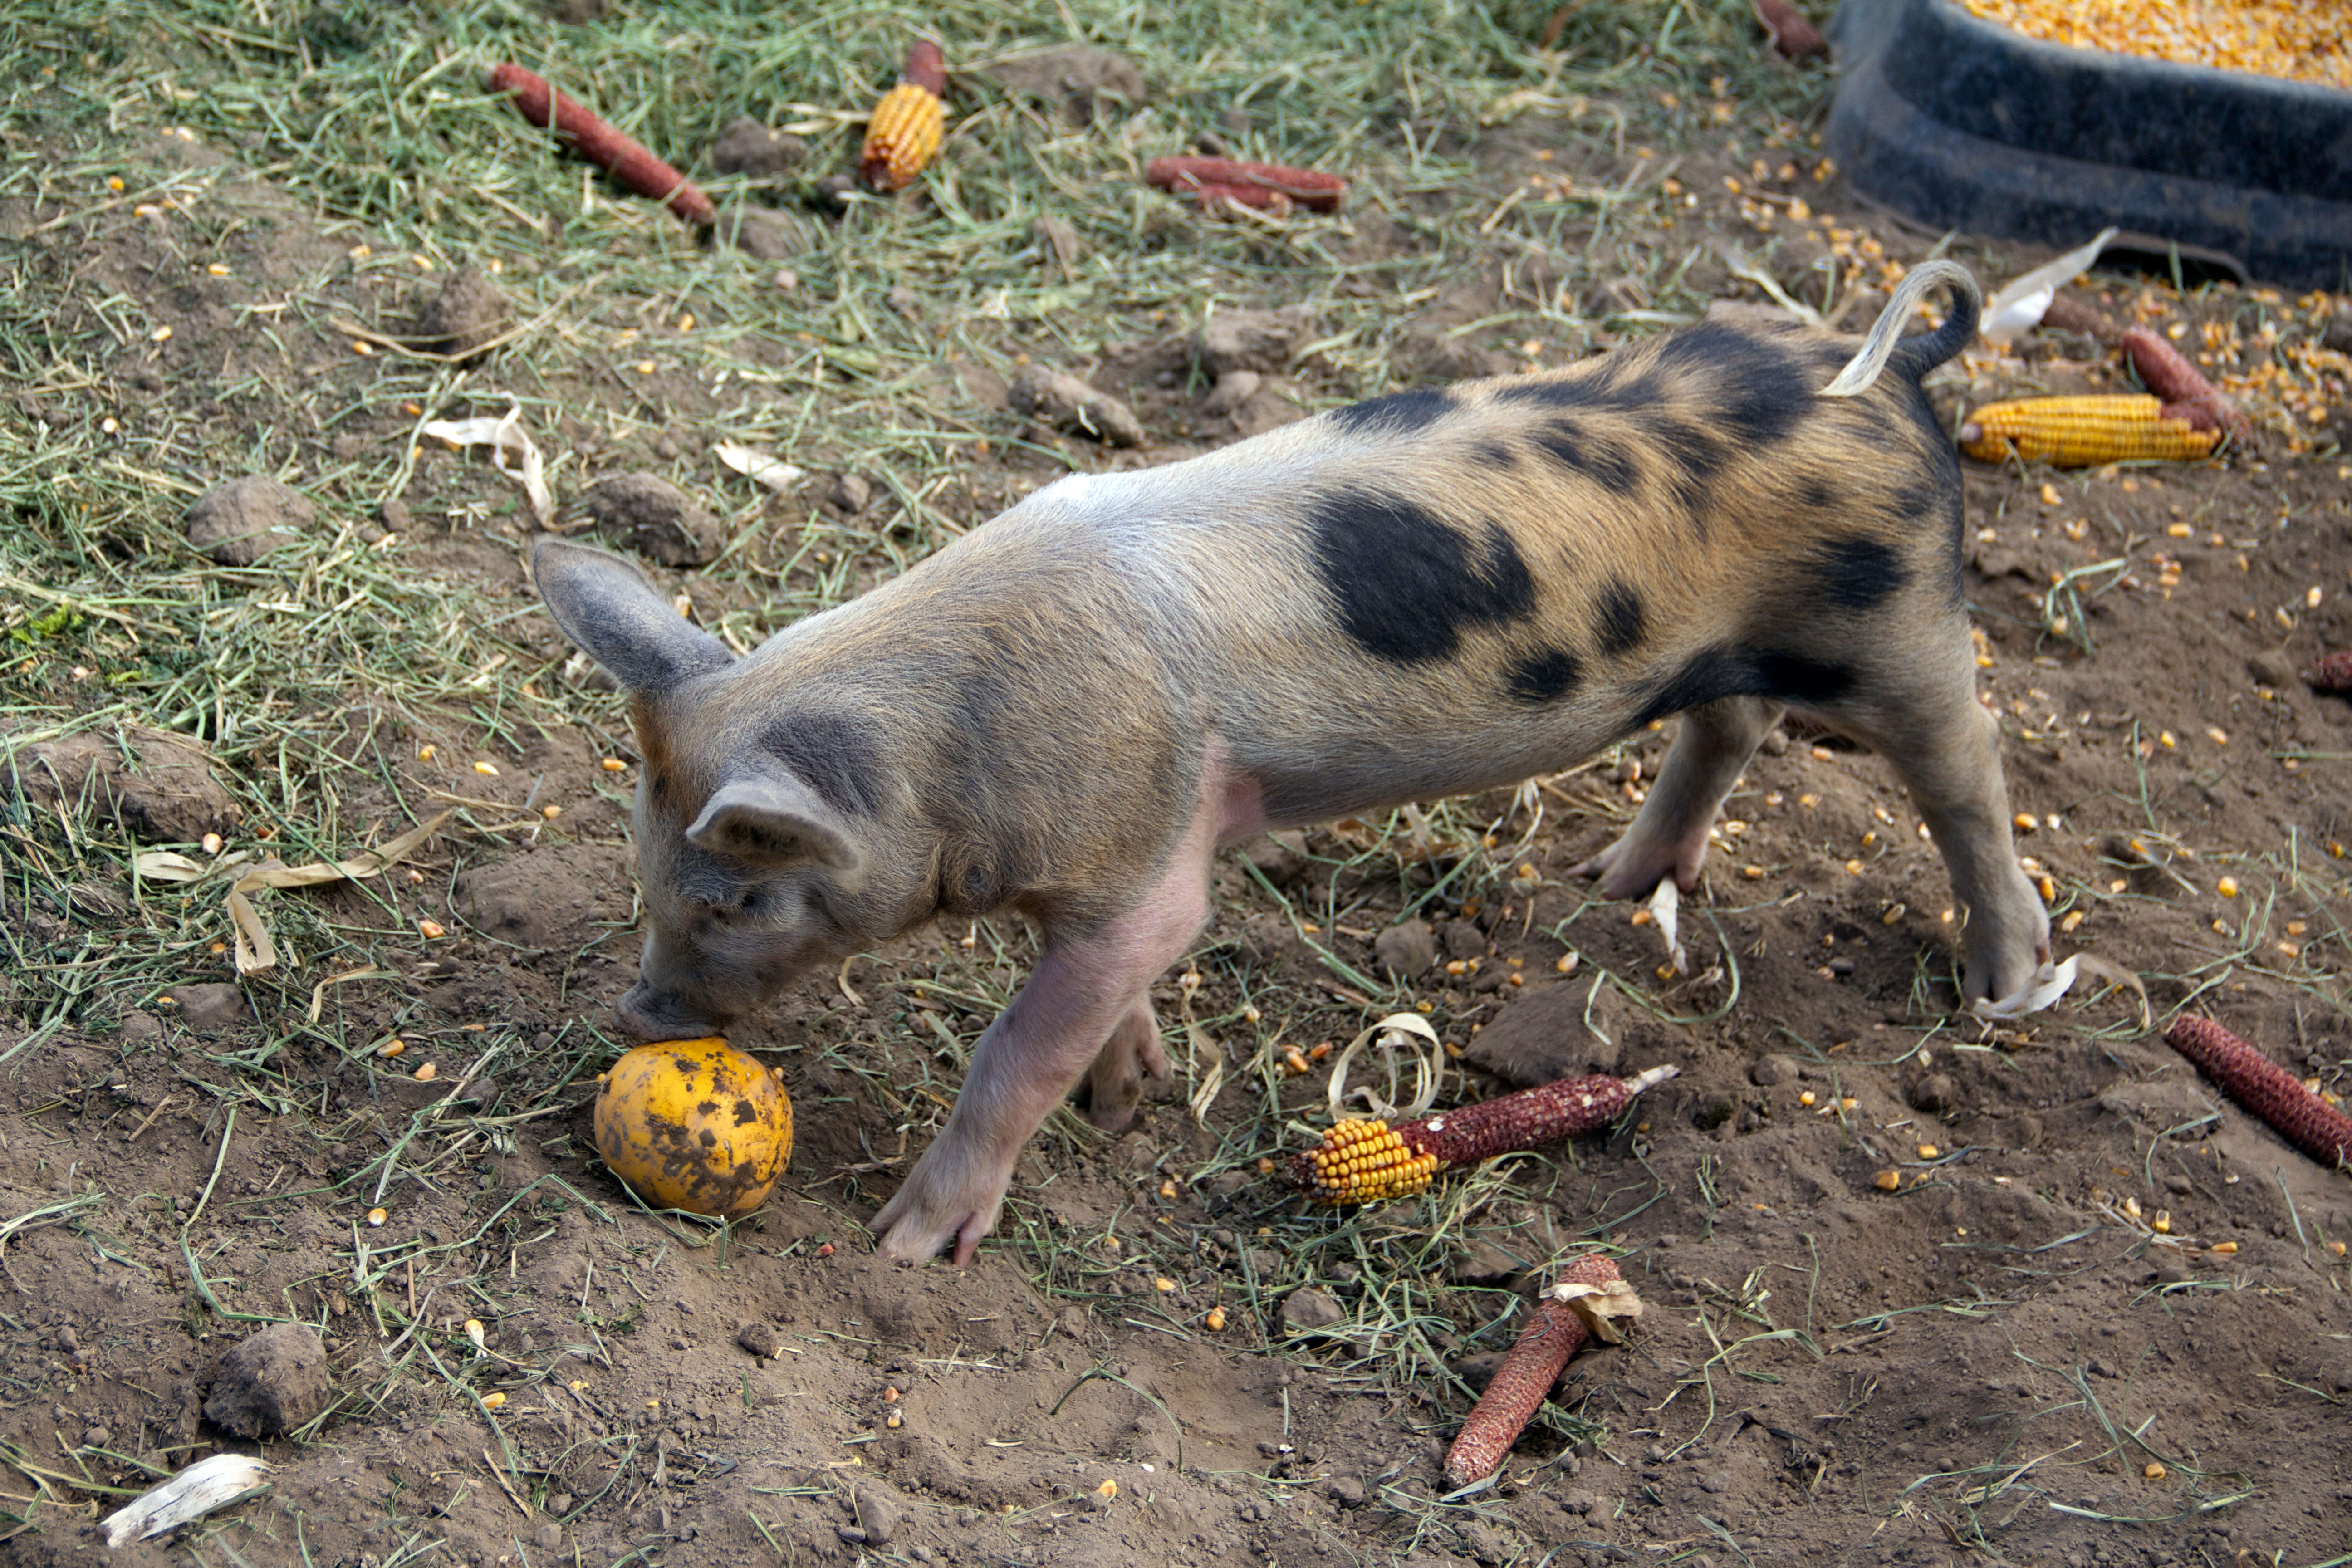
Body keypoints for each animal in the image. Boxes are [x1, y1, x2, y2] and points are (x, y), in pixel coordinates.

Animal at [533, 258, 2048, 1264]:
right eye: (644, 868)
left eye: (741, 897)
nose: (635, 1015)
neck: (953, 752)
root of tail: (1896, 376)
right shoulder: (1130, 867)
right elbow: (1102, 998)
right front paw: (1130, 1093)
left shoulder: (1145, 865)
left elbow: (1021, 1046)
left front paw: (910, 1249)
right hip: (1727, 651)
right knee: (1732, 725)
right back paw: (1614, 888)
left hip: (1899, 622)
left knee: (1971, 769)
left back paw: (2005, 989)